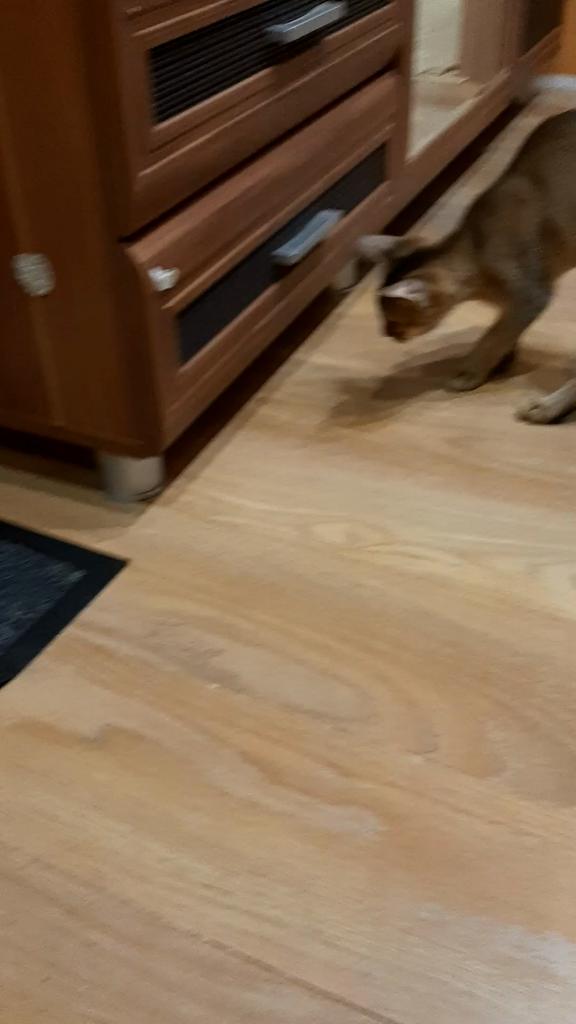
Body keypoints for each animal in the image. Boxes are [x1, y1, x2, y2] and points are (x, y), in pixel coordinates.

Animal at [360, 110, 576, 424]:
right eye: (383, 319)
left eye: (394, 320)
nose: (386, 334)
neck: (474, 251)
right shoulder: (516, 304)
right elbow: (504, 329)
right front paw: (504, 359)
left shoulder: (531, 296)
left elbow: (493, 336)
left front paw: (472, 372)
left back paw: (545, 409)